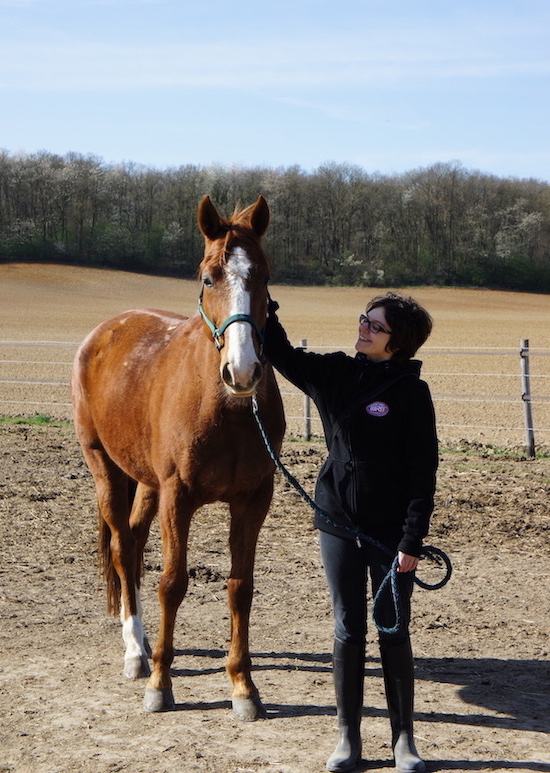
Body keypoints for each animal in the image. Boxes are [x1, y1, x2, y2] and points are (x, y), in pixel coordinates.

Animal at [71, 195, 285, 721]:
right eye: (208, 277)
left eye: (264, 275)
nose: (242, 371)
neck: (226, 409)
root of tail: (104, 331)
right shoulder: (178, 497)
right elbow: (171, 583)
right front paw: (160, 684)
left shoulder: (253, 500)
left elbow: (240, 587)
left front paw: (243, 687)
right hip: (106, 471)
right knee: (122, 548)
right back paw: (136, 651)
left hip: (145, 483)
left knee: (133, 543)